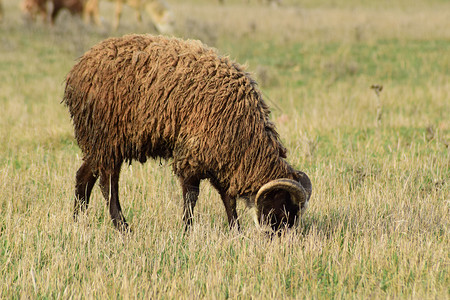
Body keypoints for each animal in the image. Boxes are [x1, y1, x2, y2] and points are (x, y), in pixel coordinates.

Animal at [61, 34, 312, 232]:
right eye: (283, 209)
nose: (280, 239)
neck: (245, 134)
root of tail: (77, 70)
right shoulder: (193, 154)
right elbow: (191, 196)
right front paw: (187, 230)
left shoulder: (220, 157)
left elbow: (227, 197)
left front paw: (235, 230)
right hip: (106, 139)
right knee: (108, 185)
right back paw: (122, 226)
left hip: (98, 143)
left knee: (84, 176)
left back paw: (77, 220)